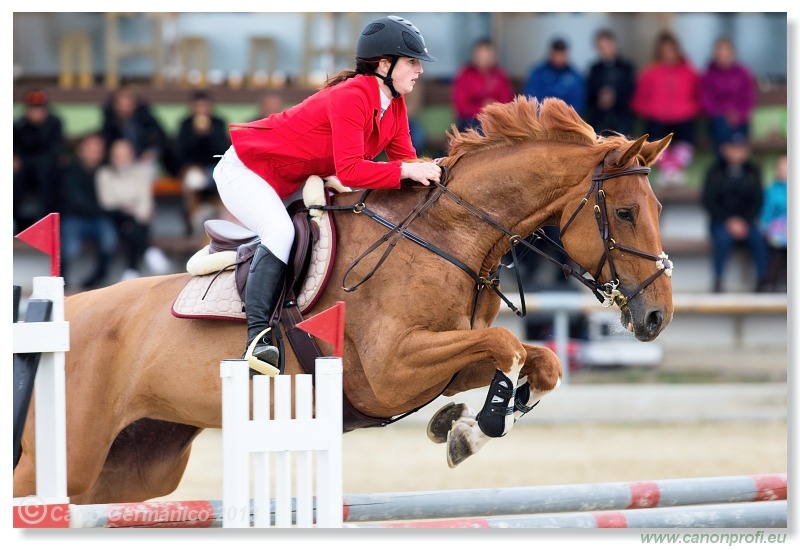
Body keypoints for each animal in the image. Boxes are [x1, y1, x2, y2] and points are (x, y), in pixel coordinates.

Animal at [14, 98, 676, 504]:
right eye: (624, 213)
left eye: (657, 208)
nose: (656, 317)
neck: (448, 234)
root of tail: (63, 319)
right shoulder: (389, 369)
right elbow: (505, 343)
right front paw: (478, 423)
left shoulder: (438, 359)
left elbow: (539, 359)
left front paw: (463, 427)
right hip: (68, 456)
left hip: (131, 468)